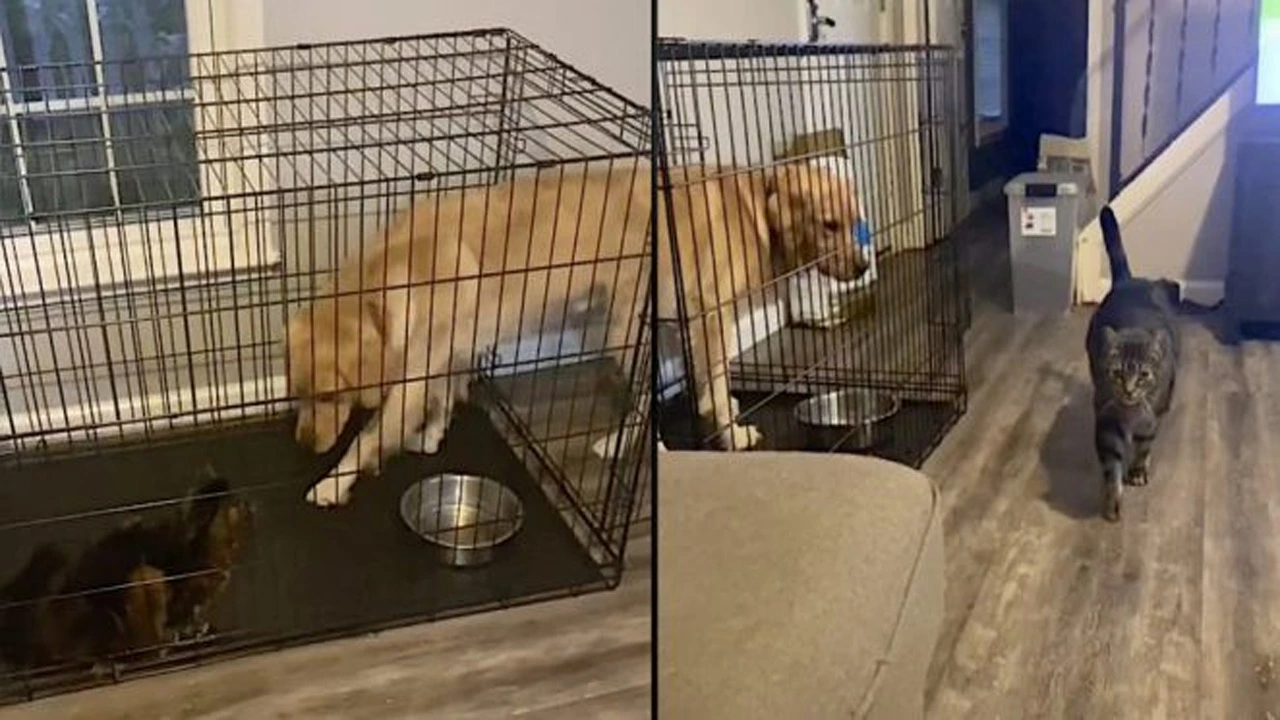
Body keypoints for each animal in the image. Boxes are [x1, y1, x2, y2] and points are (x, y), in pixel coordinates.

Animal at [289, 161, 865, 504]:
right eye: (829, 224)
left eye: (850, 221)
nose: (304, 445)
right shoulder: (445, 352)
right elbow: (440, 398)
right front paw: (426, 438)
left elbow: (368, 433)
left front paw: (333, 482)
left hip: (622, 327)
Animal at [1085, 204, 1172, 517]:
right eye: (1116, 373)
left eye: (1143, 375)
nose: (1129, 389)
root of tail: (1128, 280)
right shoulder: (1107, 418)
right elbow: (1111, 462)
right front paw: (1112, 500)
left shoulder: (1151, 419)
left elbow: (1144, 447)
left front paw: (1137, 470)